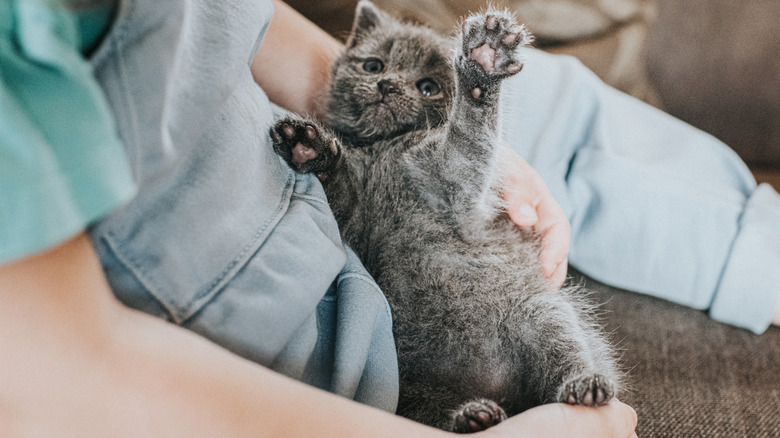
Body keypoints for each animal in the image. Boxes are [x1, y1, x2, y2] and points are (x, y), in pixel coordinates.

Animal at [268, 0, 620, 432]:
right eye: (373, 65)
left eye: (428, 87)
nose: (387, 86)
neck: (386, 148)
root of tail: (496, 388)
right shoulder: (354, 212)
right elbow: (339, 188)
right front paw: (308, 147)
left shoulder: (450, 176)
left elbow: (469, 134)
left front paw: (484, 62)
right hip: (407, 384)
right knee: (429, 414)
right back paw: (475, 418)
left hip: (543, 313)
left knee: (566, 357)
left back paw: (584, 387)